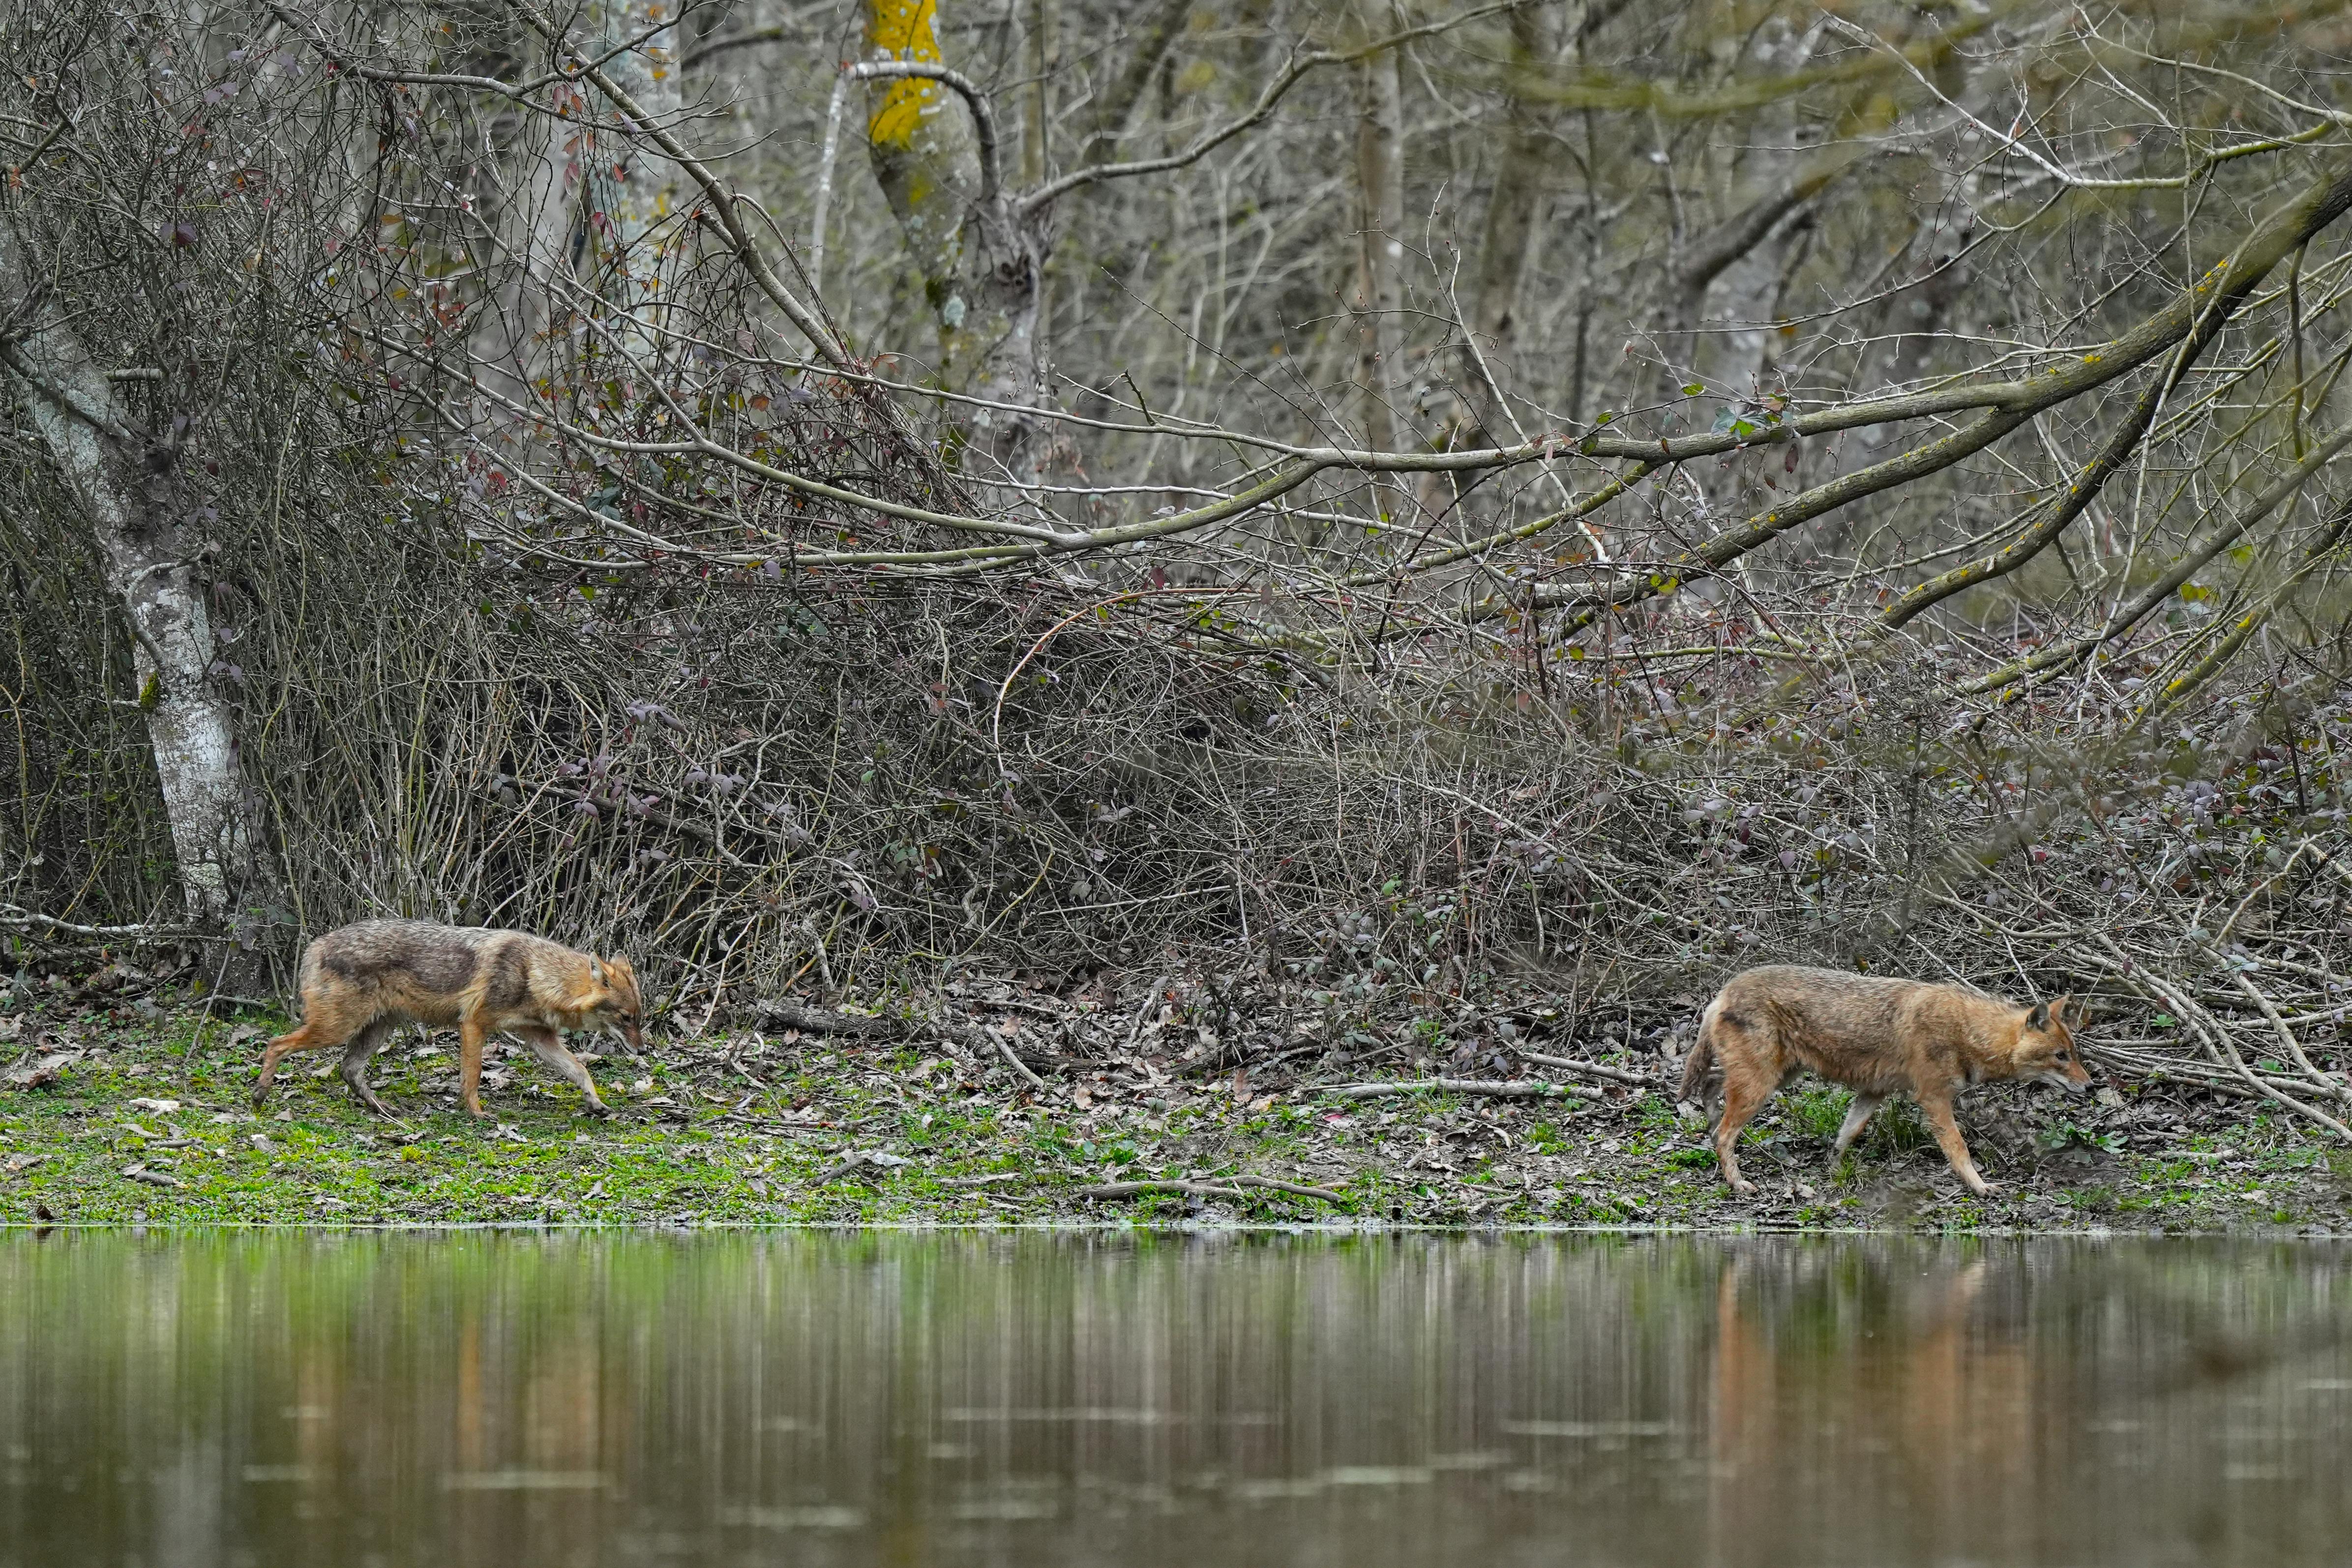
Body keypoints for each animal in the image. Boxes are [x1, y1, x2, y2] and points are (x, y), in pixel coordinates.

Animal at [253, 920, 643, 1119]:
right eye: (625, 1018)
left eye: (638, 1018)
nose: (643, 1051)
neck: (535, 974)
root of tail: (315, 945)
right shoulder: (473, 1025)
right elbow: (471, 1078)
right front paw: (477, 1113)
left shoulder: (540, 1038)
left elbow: (580, 1070)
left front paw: (596, 1103)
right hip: (337, 1030)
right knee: (275, 1044)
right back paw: (259, 1095)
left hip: (375, 1031)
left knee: (348, 1070)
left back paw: (383, 1109)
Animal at [1678, 965, 2090, 1196]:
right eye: (2061, 1056)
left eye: (2073, 1053)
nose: (2089, 1086)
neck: (1967, 1032)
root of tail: (1723, 992)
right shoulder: (1934, 1099)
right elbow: (1959, 1149)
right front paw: (1979, 1187)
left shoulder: (1873, 1092)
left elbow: (1846, 1135)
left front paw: (1833, 1171)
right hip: (1761, 1086)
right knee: (1724, 1133)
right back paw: (1736, 1183)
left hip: (1773, 1078)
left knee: (1710, 1090)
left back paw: (1709, 1124)